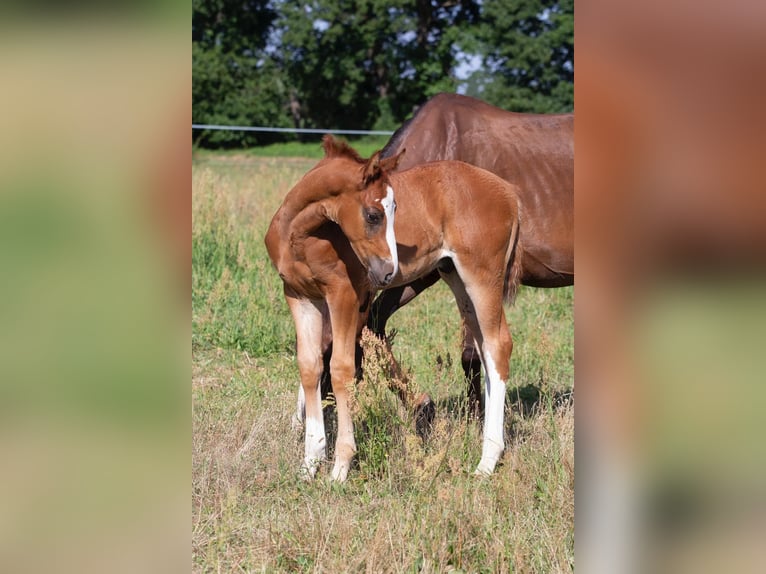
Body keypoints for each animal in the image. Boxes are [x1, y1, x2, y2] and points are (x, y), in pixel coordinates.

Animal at [268, 136, 524, 482]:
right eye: (374, 215)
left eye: (395, 210)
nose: (388, 271)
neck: (300, 235)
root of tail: (509, 192)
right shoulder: (299, 296)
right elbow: (310, 367)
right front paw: (309, 464)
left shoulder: (344, 295)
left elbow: (341, 368)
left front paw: (340, 467)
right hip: (456, 278)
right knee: (485, 348)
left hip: (482, 277)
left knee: (499, 345)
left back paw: (487, 460)